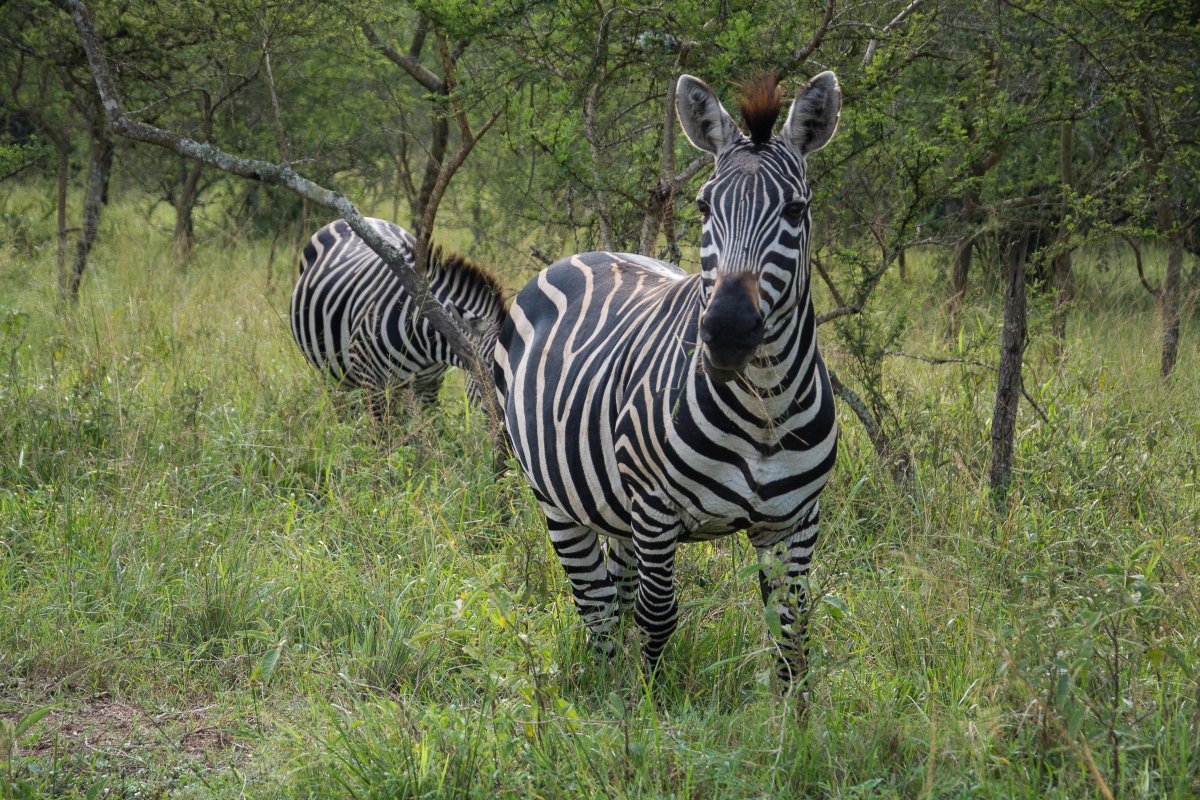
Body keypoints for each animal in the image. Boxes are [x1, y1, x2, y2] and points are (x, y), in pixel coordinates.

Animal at [492, 71, 840, 690]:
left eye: (797, 209)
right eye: (703, 205)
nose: (726, 330)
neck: (766, 406)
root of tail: (581, 253)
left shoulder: (796, 521)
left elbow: (793, 629)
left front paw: (794, 715)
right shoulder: (655, 507)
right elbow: (658, 615)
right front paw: (649, 707)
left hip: (614, 503)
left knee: (615, 589)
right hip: (554, 496)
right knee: (597, 603)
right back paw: (608, 688)